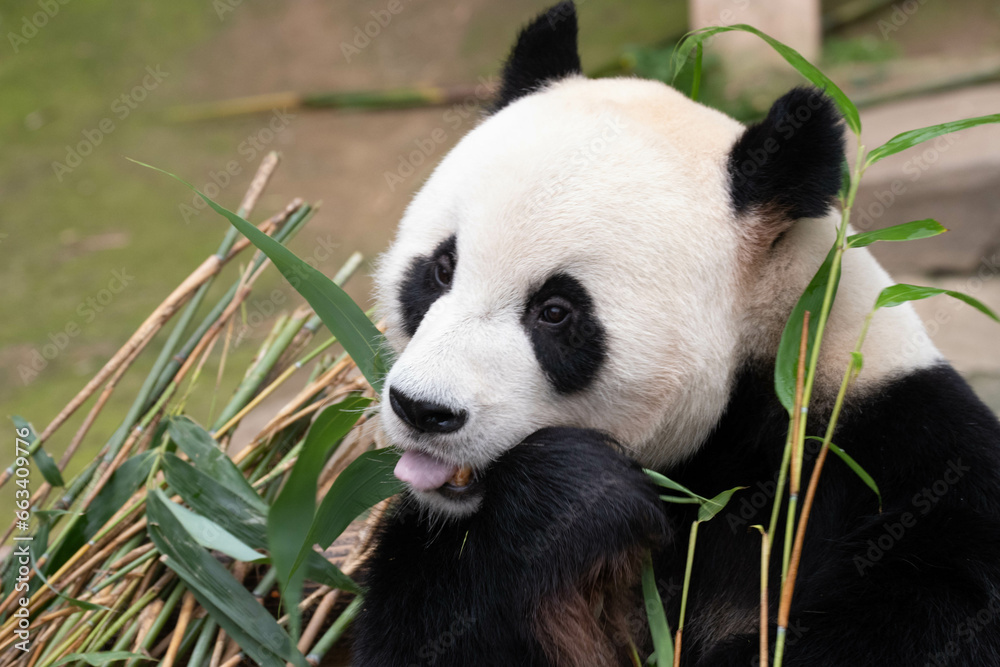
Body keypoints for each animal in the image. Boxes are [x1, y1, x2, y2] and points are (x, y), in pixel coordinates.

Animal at [352, 2, 1000, 665]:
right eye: (441, 269)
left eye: (555, 311)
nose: (422, 409)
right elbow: (424, 626)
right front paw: (572, 497)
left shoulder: (902, 460)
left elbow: (923, 617)